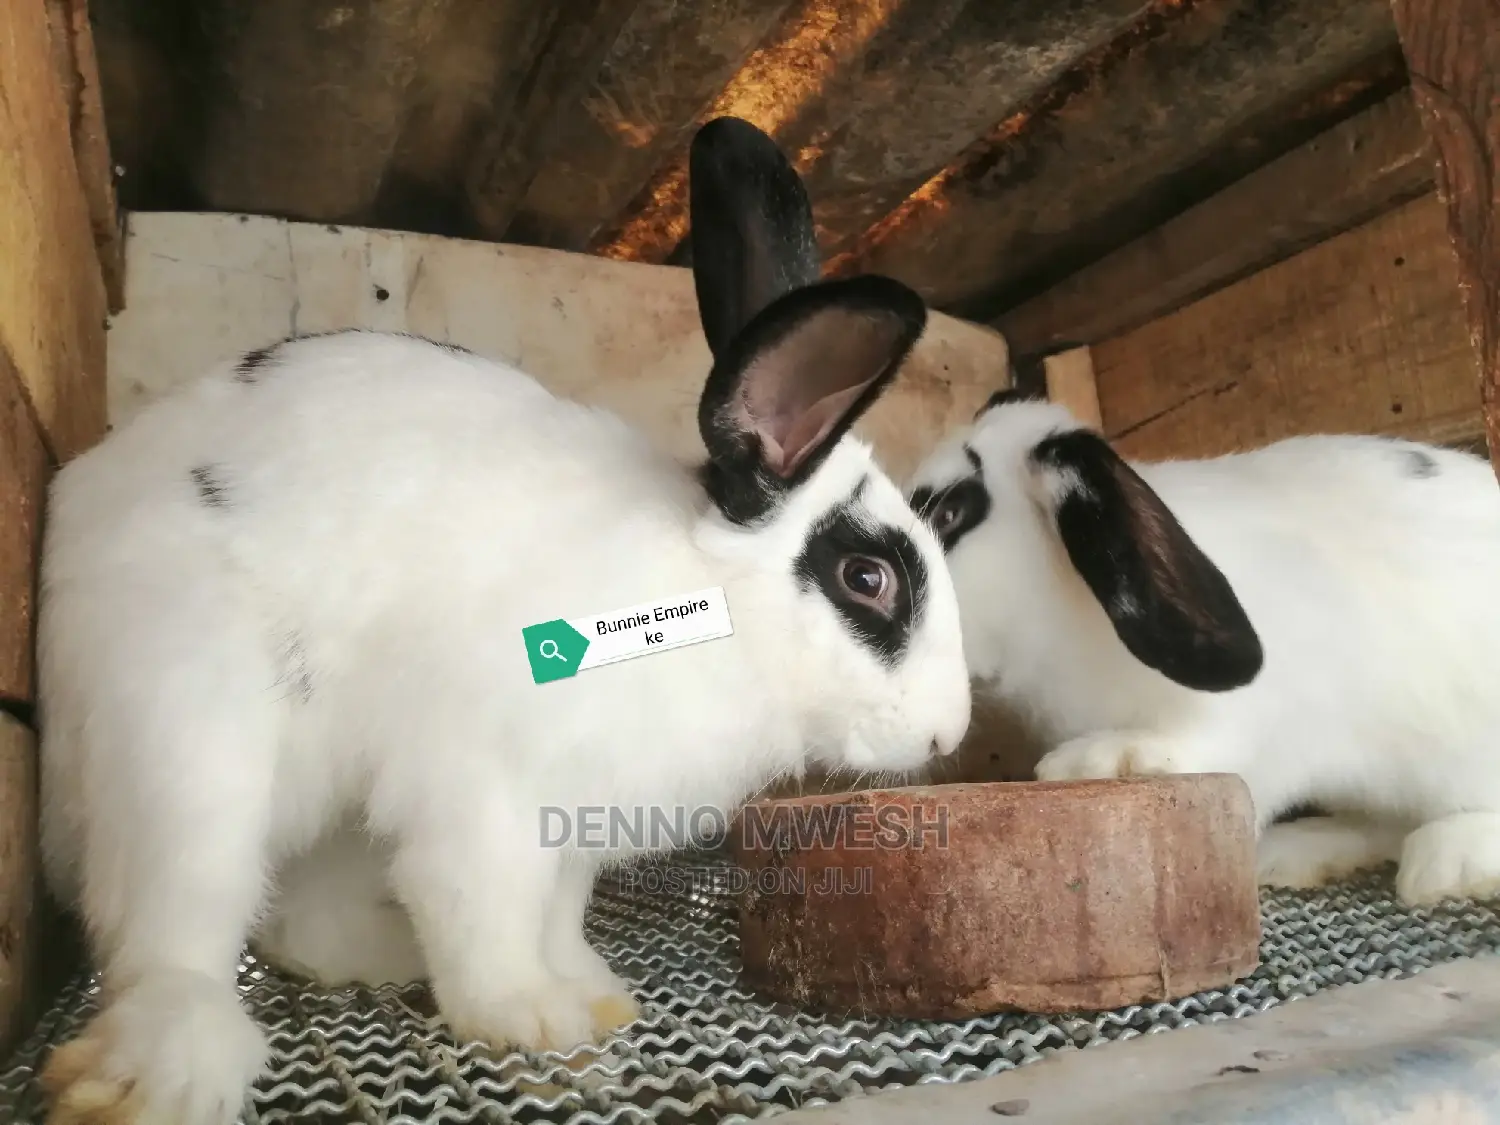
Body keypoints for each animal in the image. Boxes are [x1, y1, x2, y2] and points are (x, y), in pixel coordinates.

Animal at [34, 115, 972, 1125]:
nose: (948, 732)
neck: (702, 606)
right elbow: (478, 906)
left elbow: (554, 917)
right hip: (187, 741)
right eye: (867, 577)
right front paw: (529, 1019)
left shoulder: (577, 828)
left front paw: (592, 998)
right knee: (175, 920)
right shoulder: (486, 794)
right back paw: (168, 1069)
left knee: (297, 925)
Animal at [904, 385, 1500, 909]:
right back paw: (1294, 853)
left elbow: (1199, 748)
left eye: (950, 514)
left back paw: (1446, 864)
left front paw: (1098, 759)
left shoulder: (1244, 725)